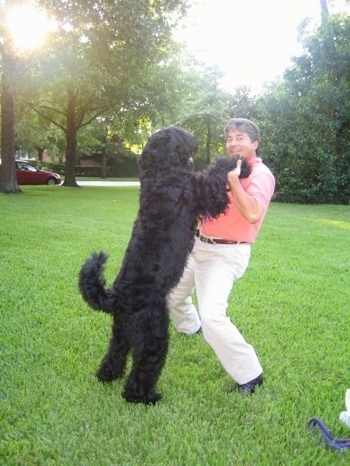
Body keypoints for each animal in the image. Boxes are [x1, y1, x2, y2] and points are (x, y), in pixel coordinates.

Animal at [78, 124, 250, 404]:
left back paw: (107, 376)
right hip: (154, 336)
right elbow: (216, 173)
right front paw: (240, 163)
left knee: (115, 355)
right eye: (179, 132)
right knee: (142, 370)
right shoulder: (204, 192)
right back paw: (147, 397)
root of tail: (118, 297)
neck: (161, 174)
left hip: (120, 333)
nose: (192, 137)